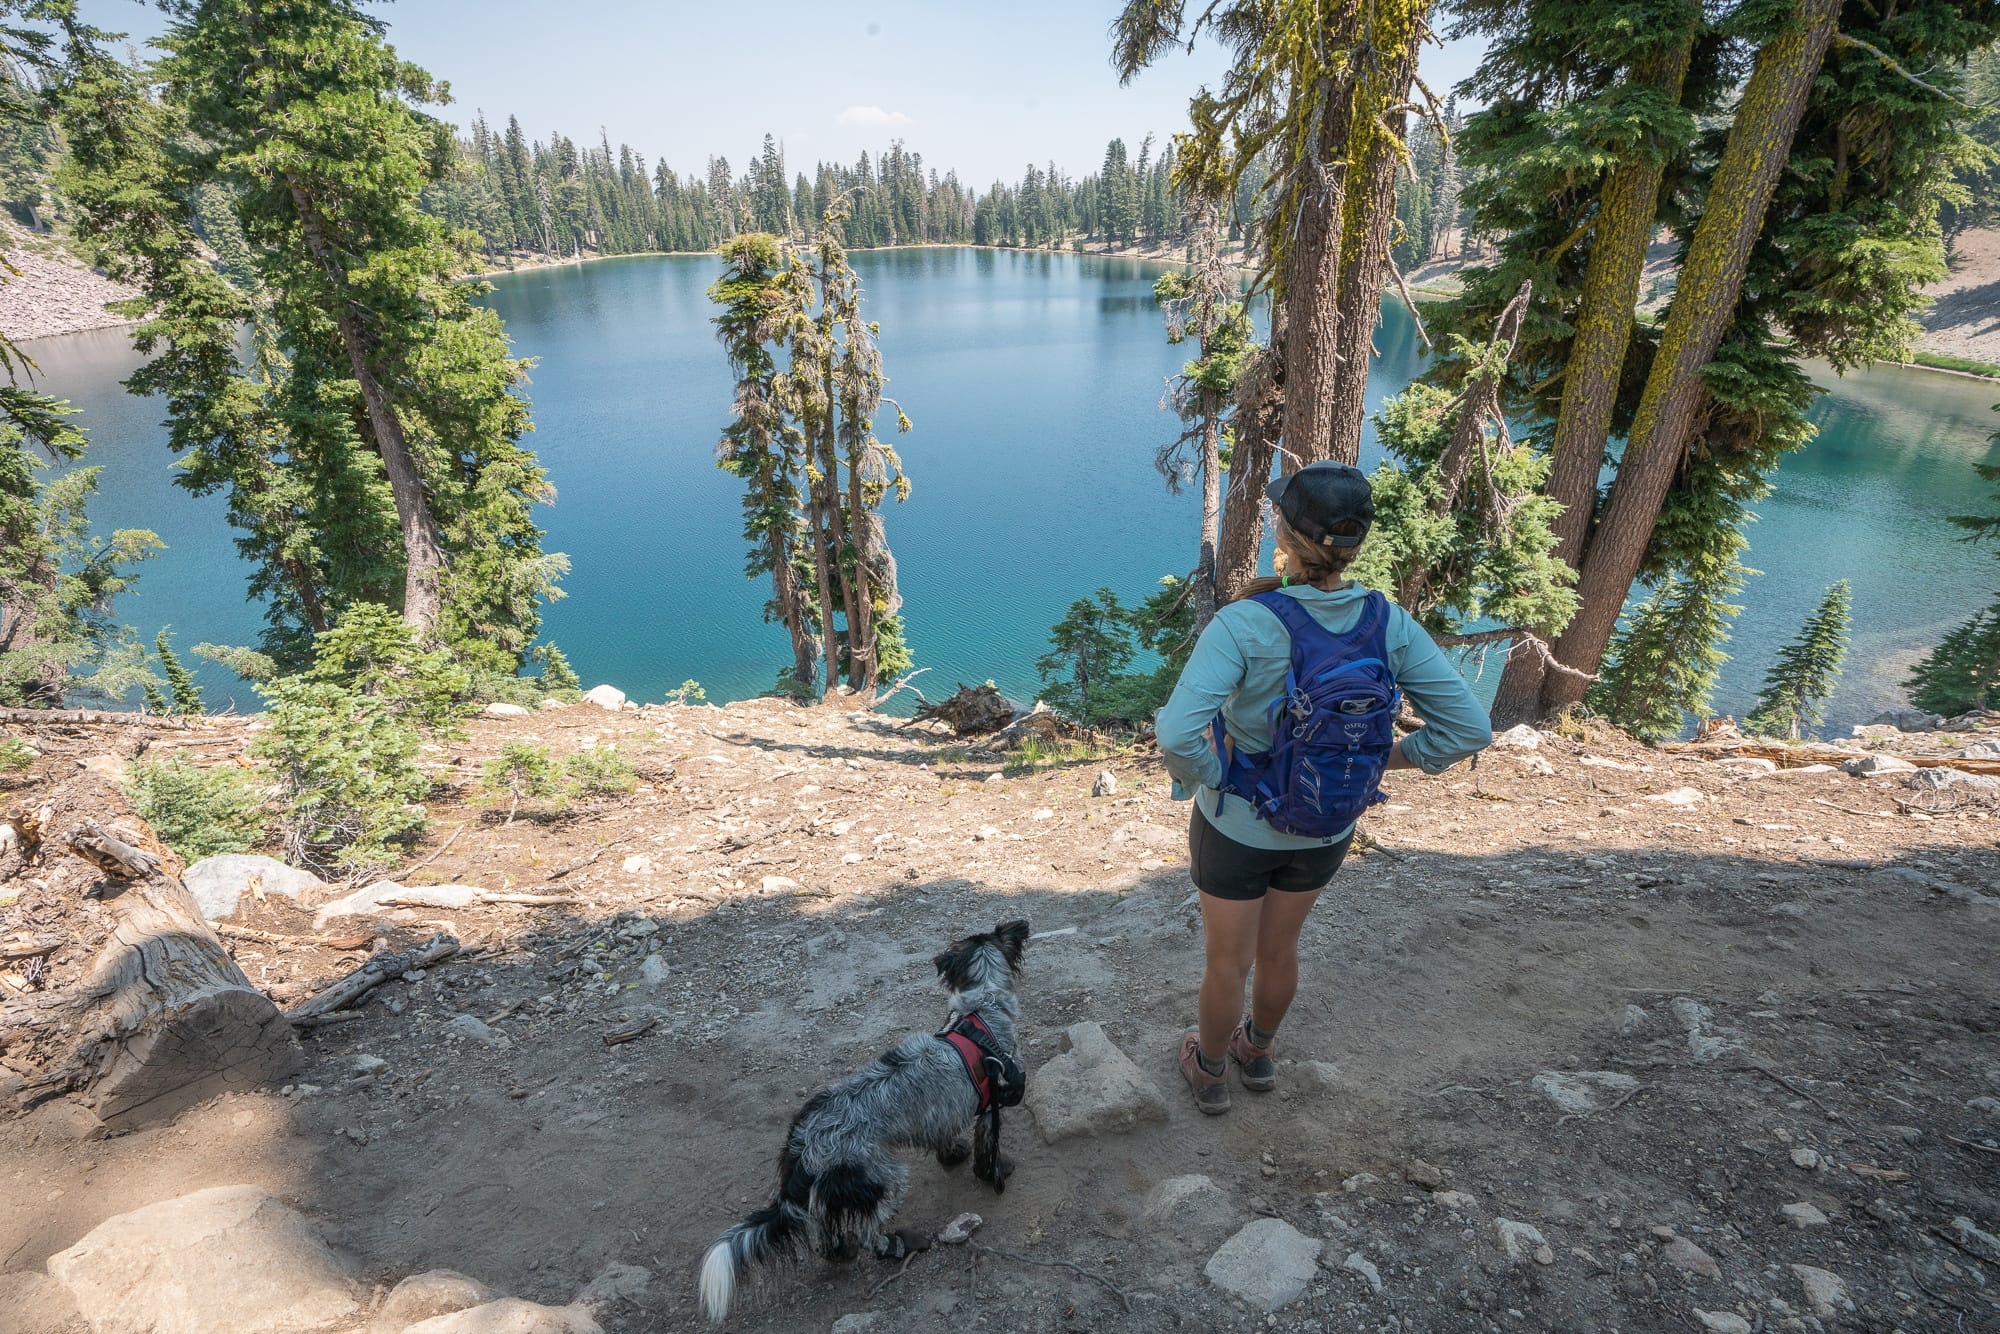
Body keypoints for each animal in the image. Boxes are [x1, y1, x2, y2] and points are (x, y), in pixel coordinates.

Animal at [700, 924, 1032, 1320]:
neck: (982, 1011)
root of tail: (805, 1147)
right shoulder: (991, 1107)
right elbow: (988, 1148)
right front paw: (993, 1170)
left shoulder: (942, 1116)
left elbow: (945, 1140)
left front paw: (953, 1156)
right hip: (885, 1178)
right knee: (872, 1236)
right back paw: (901, 1245)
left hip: (830, 1194)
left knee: (826, 1235)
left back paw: (842, 1251)